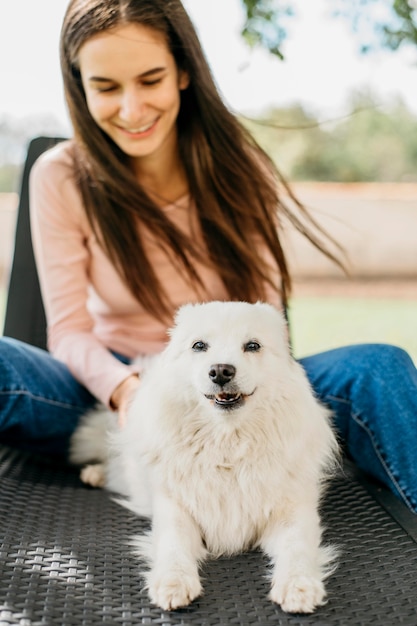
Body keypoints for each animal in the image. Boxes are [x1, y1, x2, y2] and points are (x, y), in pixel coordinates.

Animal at [70, 300, 338, 612]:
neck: (227, 444)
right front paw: (173, 583)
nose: (221, 371)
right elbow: (173, 546)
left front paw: (298, 586)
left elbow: (297, 549)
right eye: (199, 345)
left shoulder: (292, 512)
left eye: (253, 345)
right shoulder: (175, 508)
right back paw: (94, 474)